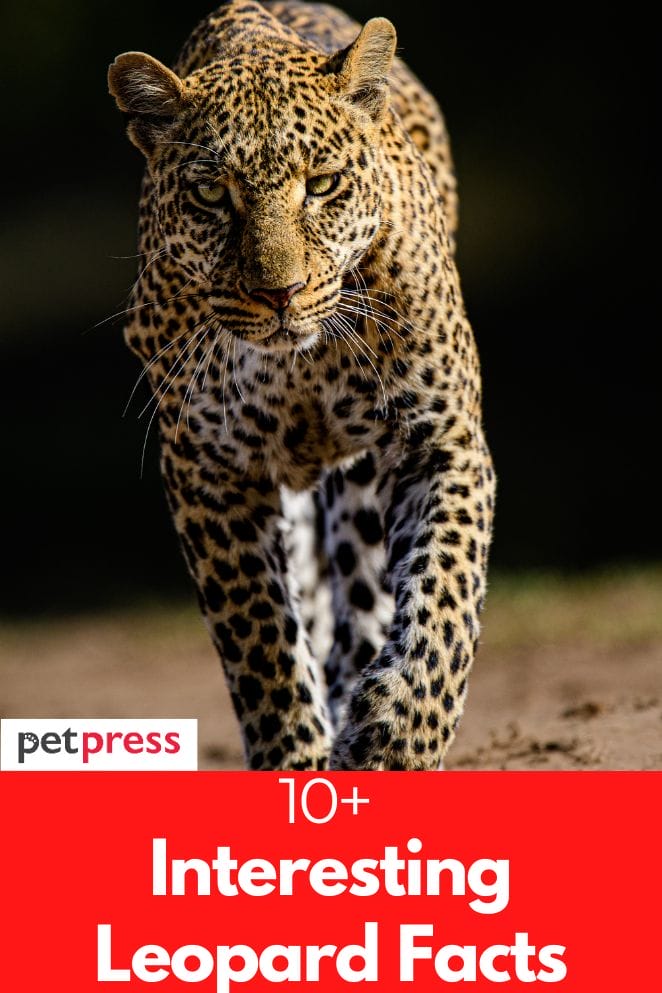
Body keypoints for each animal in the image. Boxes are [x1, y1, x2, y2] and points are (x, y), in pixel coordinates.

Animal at [108, 0, 495, 770]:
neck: (300, 365)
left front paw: (397, 742)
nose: (278, 294)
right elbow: (262, 640)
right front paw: (297, 761)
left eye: (321, 184)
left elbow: (443, 597)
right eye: (210, 193)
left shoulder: (441, 440)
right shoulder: (209, 471)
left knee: (369, 597)